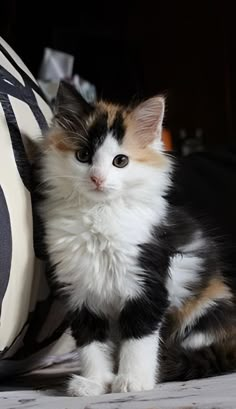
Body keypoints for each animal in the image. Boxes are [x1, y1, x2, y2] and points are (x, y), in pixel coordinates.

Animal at [35, 80, 236, 396]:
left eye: (120, 161)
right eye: (83, 156)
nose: (97, 179)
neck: (99, 214)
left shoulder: (147, 283)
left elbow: (138, 338)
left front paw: (132, 381)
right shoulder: (79, 291)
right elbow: (90, 343)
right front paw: (94, 383)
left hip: (207, 307)